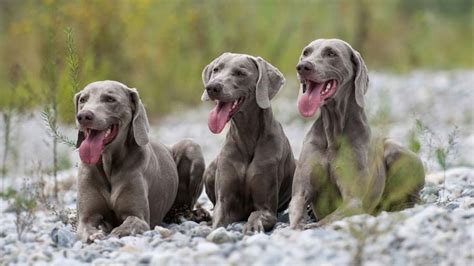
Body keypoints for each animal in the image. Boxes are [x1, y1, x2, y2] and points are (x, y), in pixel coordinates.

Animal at [75, 80, 205, 242]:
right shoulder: (86, 218)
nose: (83, 116)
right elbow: (86, 227)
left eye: (110, 99)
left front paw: (116, 232)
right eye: (83, 100)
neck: (108, 163)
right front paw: (95, 234)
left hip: (192, 148)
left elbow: (129, 223)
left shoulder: (139, 217)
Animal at [201, 52, 296, 233]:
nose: (212, 87)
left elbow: (256, 214)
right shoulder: (224, 202)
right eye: (216, 69)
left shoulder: (267, 208)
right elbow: (218, 219)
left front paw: (252, 226)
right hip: (210, 169)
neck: (247, 136)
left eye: (240, 73)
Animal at [288, 39, 426, 229]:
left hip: (396, 151)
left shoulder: (353, 201)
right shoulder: (300, 192)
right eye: (306, 52)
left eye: (331, 53)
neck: (332, 132)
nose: (302, 67)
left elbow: (327, 220)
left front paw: (312, 225)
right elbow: (296, 214)